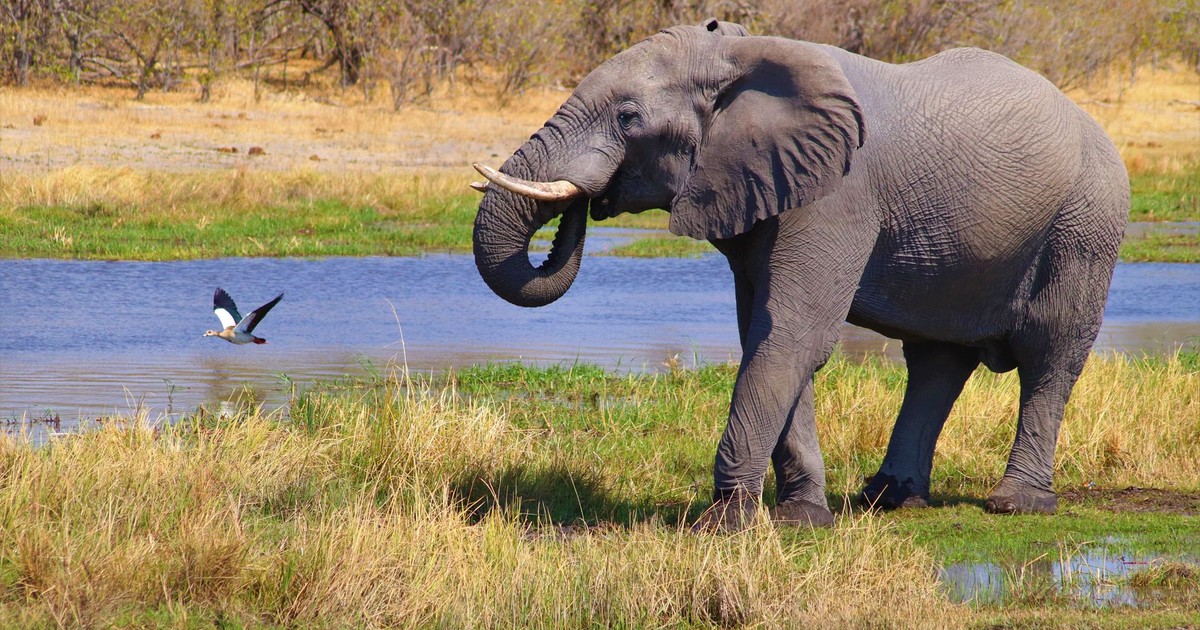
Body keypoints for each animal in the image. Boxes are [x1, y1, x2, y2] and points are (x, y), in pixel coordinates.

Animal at [470, 19, 1129, 530]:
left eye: (629, 117)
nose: (587, 201)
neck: (742, 53)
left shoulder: (837, 196)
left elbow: (790, 335)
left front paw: (725, 526)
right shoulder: (765, 191)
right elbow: (766, 333)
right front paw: (802, 518)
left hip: (1086, 227)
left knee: (1050, 354)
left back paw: (1017, 505)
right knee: (937, 360)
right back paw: (887, 500)